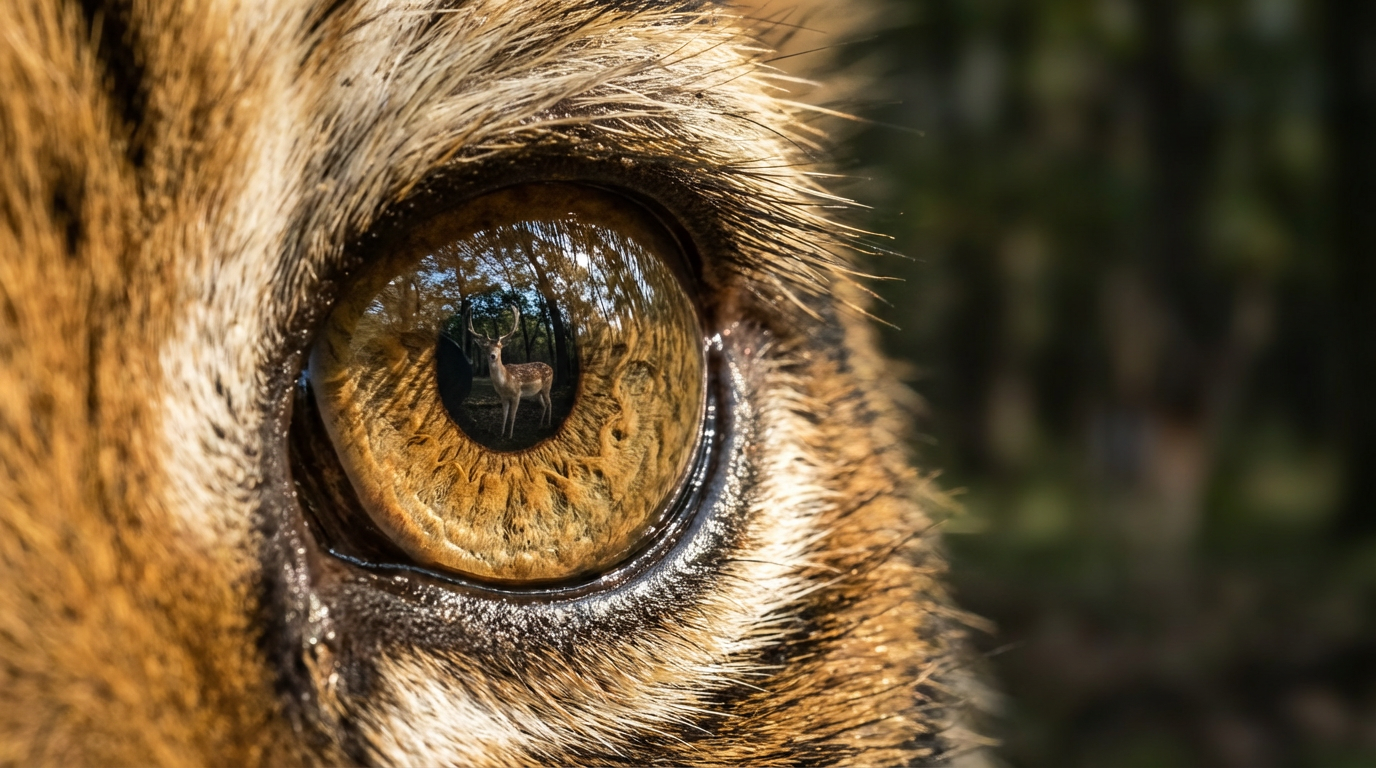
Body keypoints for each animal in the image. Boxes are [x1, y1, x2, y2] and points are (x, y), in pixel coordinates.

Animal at [468, 307, 555, 438]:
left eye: (499, 346)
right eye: (486, 348)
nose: (493, 356)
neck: (505, 382)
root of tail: (551, 368)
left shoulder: (517, 394)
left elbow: (512, 416)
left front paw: (510, 435)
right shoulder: (503, 397)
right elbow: (504, 416)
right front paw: (501, 433)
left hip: (547, 387)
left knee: (550, 403)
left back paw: (548, 424)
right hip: (536, 393)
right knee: (544, 405)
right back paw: (540, 424)